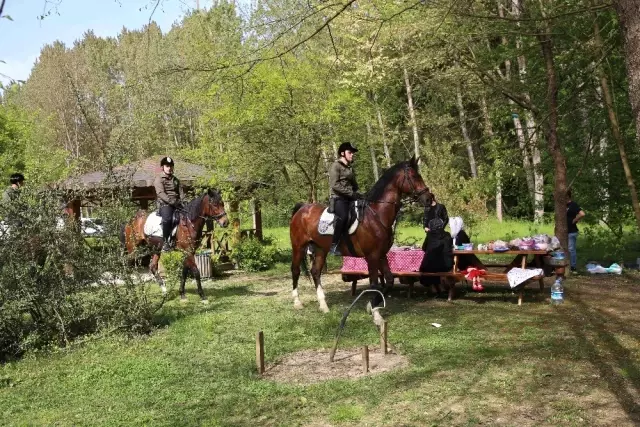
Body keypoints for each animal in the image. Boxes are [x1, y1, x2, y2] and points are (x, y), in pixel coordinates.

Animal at [288, 157, 430, 324]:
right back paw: (297, 302)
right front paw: (376, 314)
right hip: (298, 247)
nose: (429, 198)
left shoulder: (381, 255)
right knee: (295, 270)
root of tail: (302, 208)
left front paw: (371, 306)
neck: (376, 214)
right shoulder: (372, 256)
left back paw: (323, 306)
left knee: (316, 272)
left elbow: (388, 281)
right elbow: (374, 283)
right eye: (414, 176)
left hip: (321, 249)